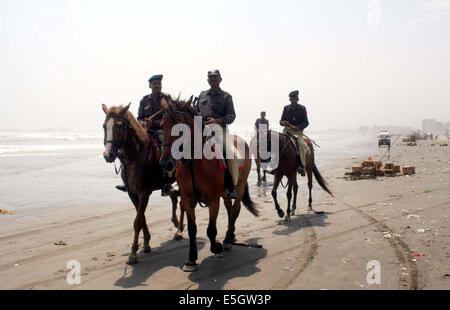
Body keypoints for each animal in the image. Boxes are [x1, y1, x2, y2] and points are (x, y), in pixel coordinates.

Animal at [103, 102, 184, 264]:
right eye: (104, 126)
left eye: (119, 126)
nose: (108, 155)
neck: (136, 156)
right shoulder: (132, 194)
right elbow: (142, 218)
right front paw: (146, 243)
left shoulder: (144, 192)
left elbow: (137, 221)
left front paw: (133, 253)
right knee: (173, 197)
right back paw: (175, 222)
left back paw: (179, 231)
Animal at [158, 97, 258, 272]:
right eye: (163, 124)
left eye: (180, 127)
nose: (166, 163)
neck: (195, 164)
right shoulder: (187, 200)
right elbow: (192, 229)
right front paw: (191, 259)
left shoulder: (213, 200)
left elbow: (211, 229)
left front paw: (216, 247)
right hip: (225, 192)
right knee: (230, 208)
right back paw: (230, 236)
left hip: (239, 187)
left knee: (235, 210)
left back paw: (227, 239)